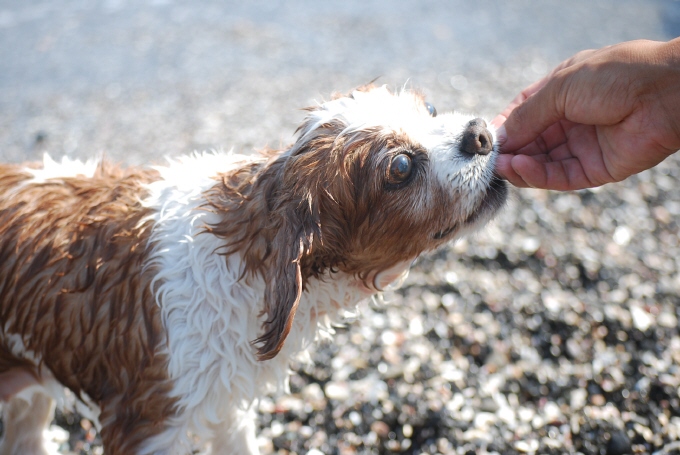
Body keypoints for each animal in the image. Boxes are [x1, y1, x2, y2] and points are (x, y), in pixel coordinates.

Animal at [0, 86, 504, 455]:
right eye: (401, 166)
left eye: (430, 108)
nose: (480, 133)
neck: (248, 257)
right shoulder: (146, 422)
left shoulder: (227, 404)